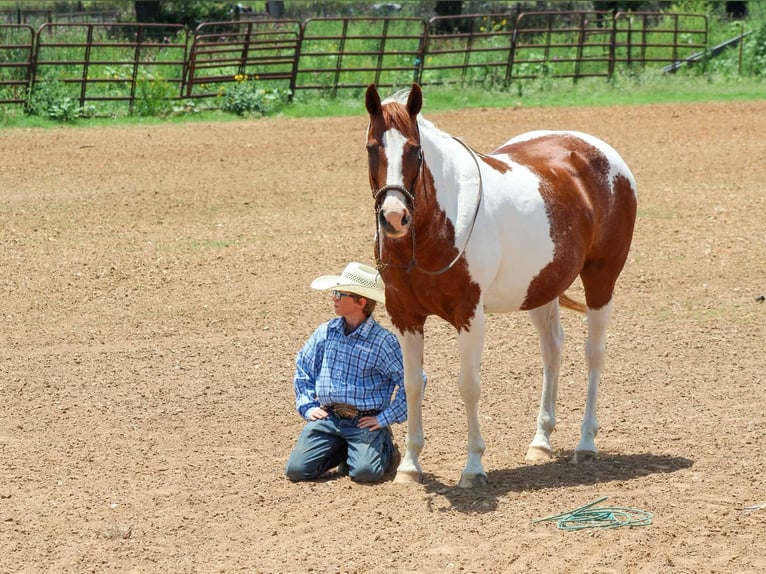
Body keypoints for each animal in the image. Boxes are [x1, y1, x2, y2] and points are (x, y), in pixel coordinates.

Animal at [364, 83, 637, 488]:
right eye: (372, 147)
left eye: (415, 149)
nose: (394, 217)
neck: (433, 229)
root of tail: (601, 151)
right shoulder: (405, 315)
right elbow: (412, 383)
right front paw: (410, 466)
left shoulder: (469, 315)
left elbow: (469, 385)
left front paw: (473, 466)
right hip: (540, 289)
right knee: (552, 351)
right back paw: (541, 442)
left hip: (601, 278)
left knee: (594, 354)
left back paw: (586, 442)